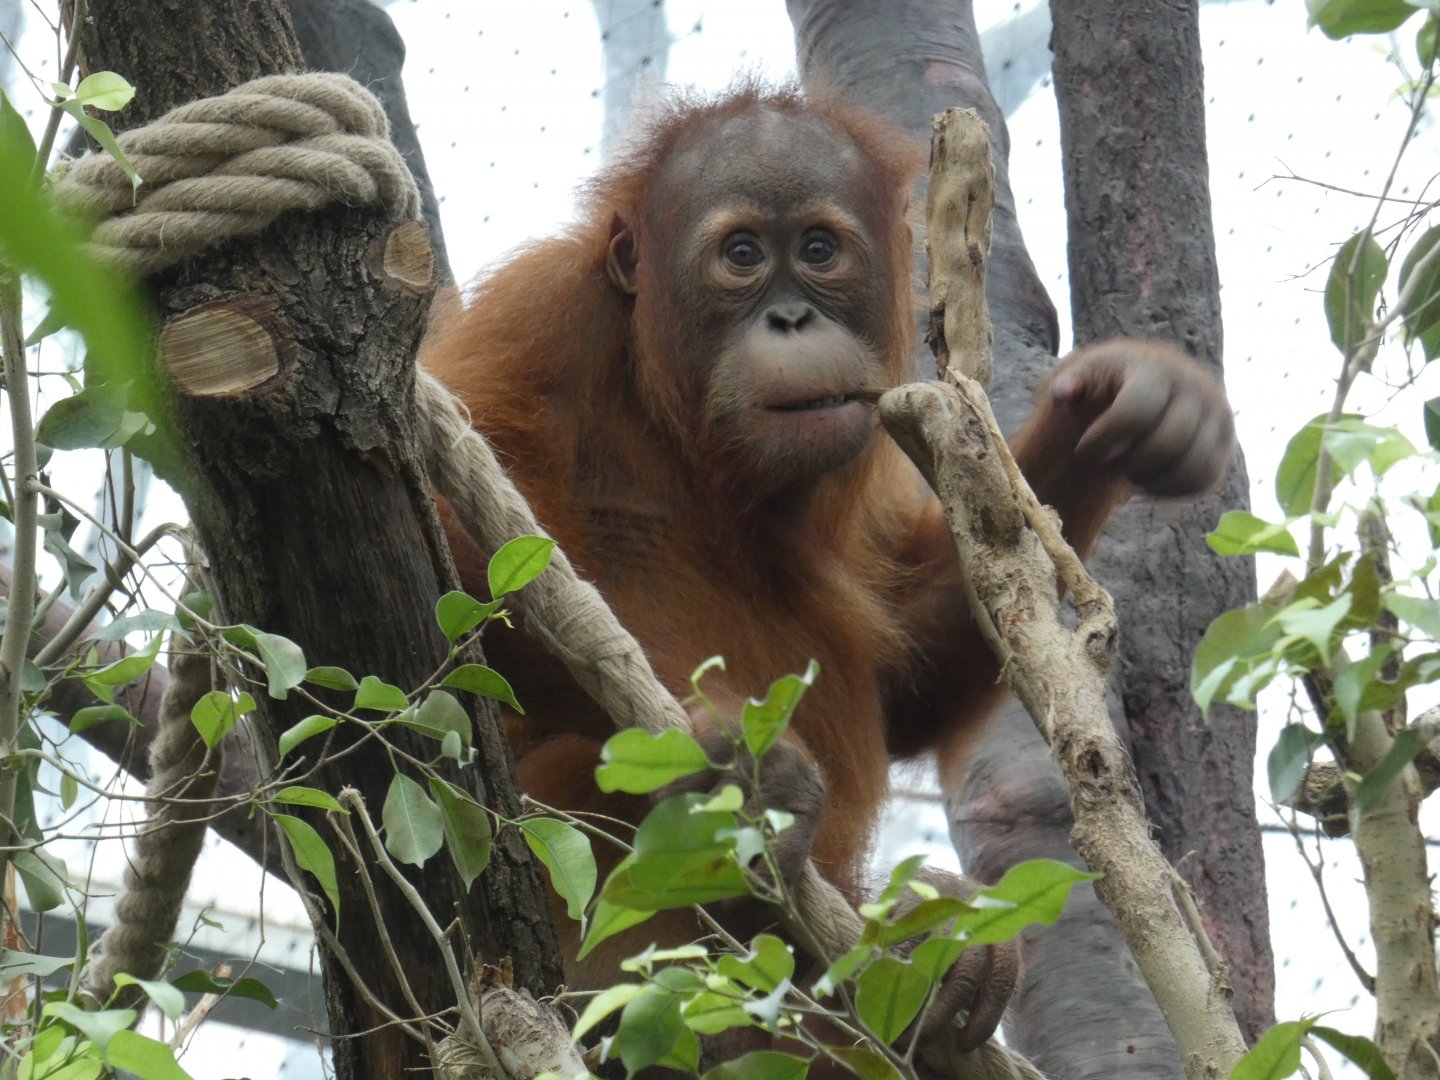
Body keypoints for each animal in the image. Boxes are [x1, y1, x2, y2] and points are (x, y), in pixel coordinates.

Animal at [422, 83, 1234, 1060]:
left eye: (817, 250)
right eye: (740, 255)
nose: (791, 318)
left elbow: (905, 670)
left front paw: (1128, 410)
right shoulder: (537, 326)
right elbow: (442, 580)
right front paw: (734, 768)